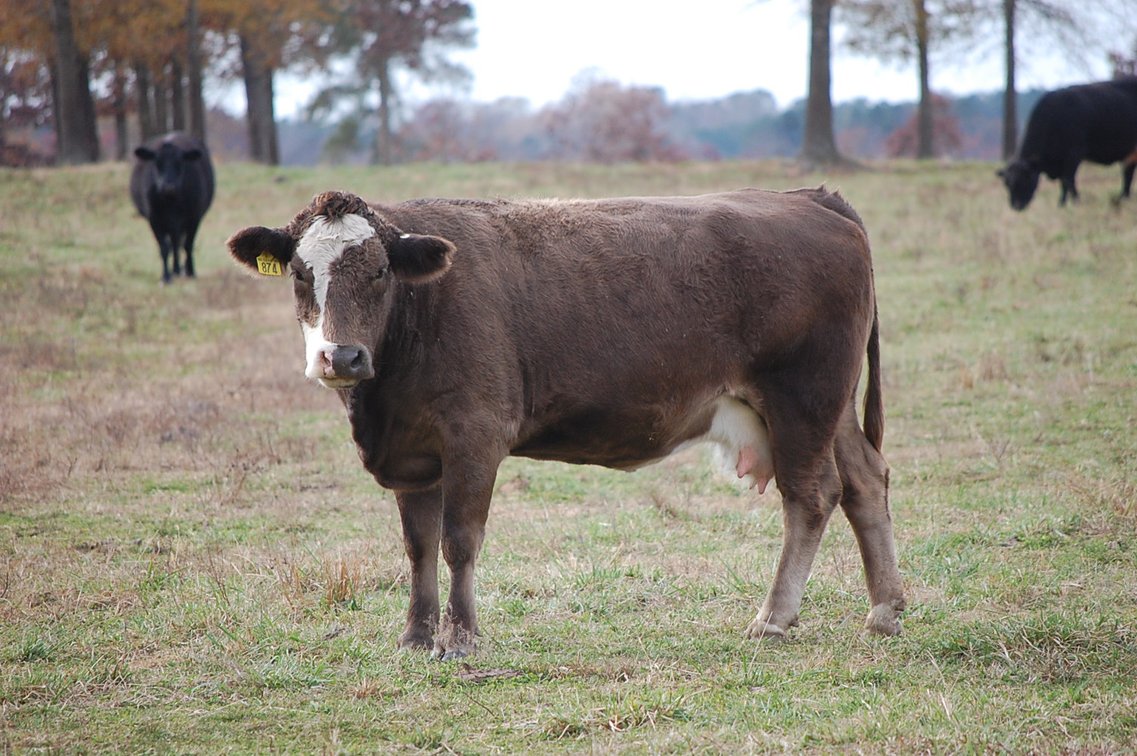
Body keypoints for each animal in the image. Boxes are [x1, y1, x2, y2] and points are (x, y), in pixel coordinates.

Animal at [130, 132, 215, 283]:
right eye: (157, 162)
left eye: (180, 162)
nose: (169, 187)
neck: (171, 201)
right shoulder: (154, 220)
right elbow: (164, 248)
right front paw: (166, 277)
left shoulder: (194, 218)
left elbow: (188, 245)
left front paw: (190, 272)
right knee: (173, 244)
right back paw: (175, 270)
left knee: (178, 244)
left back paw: (179, 270)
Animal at [227, 187, 906, 660]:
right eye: (300, 274)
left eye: (379, 271)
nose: (340, 357)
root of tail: (808, 198)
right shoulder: (413, 455)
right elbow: (418, 546)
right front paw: (416, 637)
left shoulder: (474, 436)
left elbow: (458, 540)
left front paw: (461, 639)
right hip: (829, 410)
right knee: (865, 481)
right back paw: (884, 609)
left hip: (803, 399)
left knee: (812, 496)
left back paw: (773, 618)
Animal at [999, 77, 1137, 210]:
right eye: (1007, 183)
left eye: (1025, 179)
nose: (1016, 206)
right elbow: (1066, 182)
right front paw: (1068, 202)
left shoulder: (1074, 154)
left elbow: (1067, 180)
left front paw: (1069, 202)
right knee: (1128, 175)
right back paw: (1122, 199)